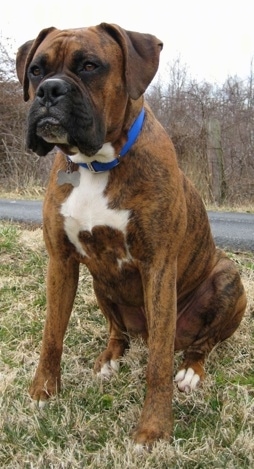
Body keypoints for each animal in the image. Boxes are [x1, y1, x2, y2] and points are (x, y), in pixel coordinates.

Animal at [15, 22, 246, 446]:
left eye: (90, 66)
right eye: (36, 70)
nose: (49, 90)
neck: (96, 164)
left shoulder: (158, 267)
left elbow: (157, 365)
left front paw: (153, 430)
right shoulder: (61, 262)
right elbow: (52, 335)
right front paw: (43, 393)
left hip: (228, 281)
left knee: (199, 344)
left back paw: (191, 371)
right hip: (100, 284)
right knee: (117, 330)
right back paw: (110, 358)